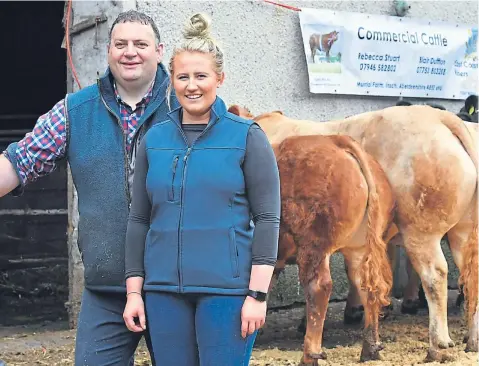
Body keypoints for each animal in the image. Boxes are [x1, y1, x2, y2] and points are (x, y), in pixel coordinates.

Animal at [231, 104, 478, 362]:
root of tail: (440, 117)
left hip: (418, 233)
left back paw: (437, 345)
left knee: (433, 276)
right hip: (459, 233)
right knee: (470, 276)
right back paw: (469, 341)